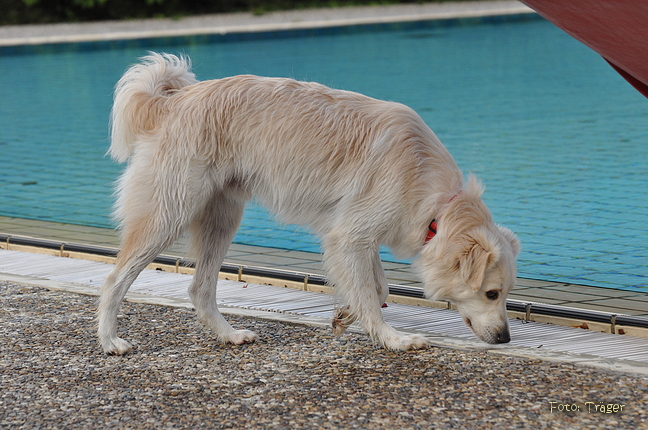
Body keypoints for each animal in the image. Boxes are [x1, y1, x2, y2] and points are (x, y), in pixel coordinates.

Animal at [97, 53, 520, 354]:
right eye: (492, 294)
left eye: (505, 294)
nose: (505, 339)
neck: (438, 203)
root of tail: (172, 102)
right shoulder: (349, 238)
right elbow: (372, 294)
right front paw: (392, 339)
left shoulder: (356, 235)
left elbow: (378, 288)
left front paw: (346, 314)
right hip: (168, 215)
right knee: (115, 280)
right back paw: (109, 342)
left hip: (223, 219)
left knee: (200, 290)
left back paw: (228, 335)